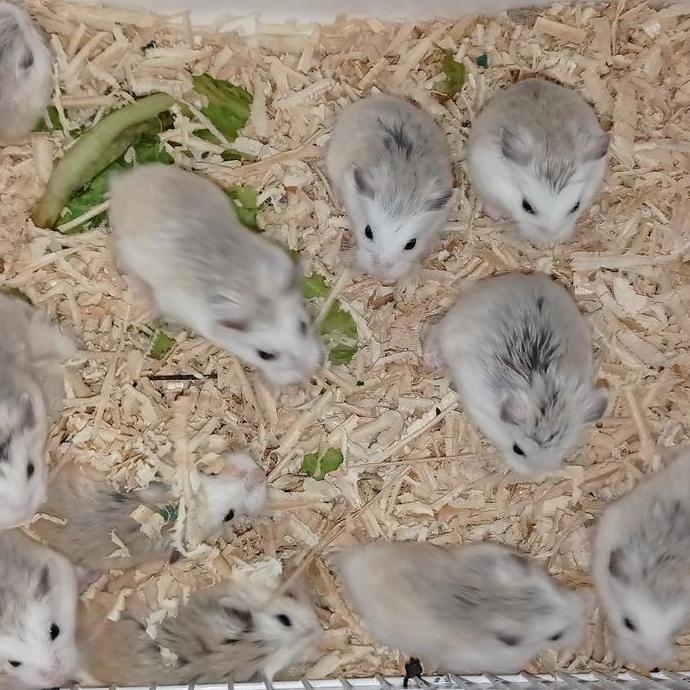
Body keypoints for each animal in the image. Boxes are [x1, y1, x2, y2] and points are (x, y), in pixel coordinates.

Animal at [425, 272, 607, 474]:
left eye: (565, 450)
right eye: (517, 449)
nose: (537, 475)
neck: (546, 391)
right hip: (452, 327)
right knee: (435, 331)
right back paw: (431, 359)